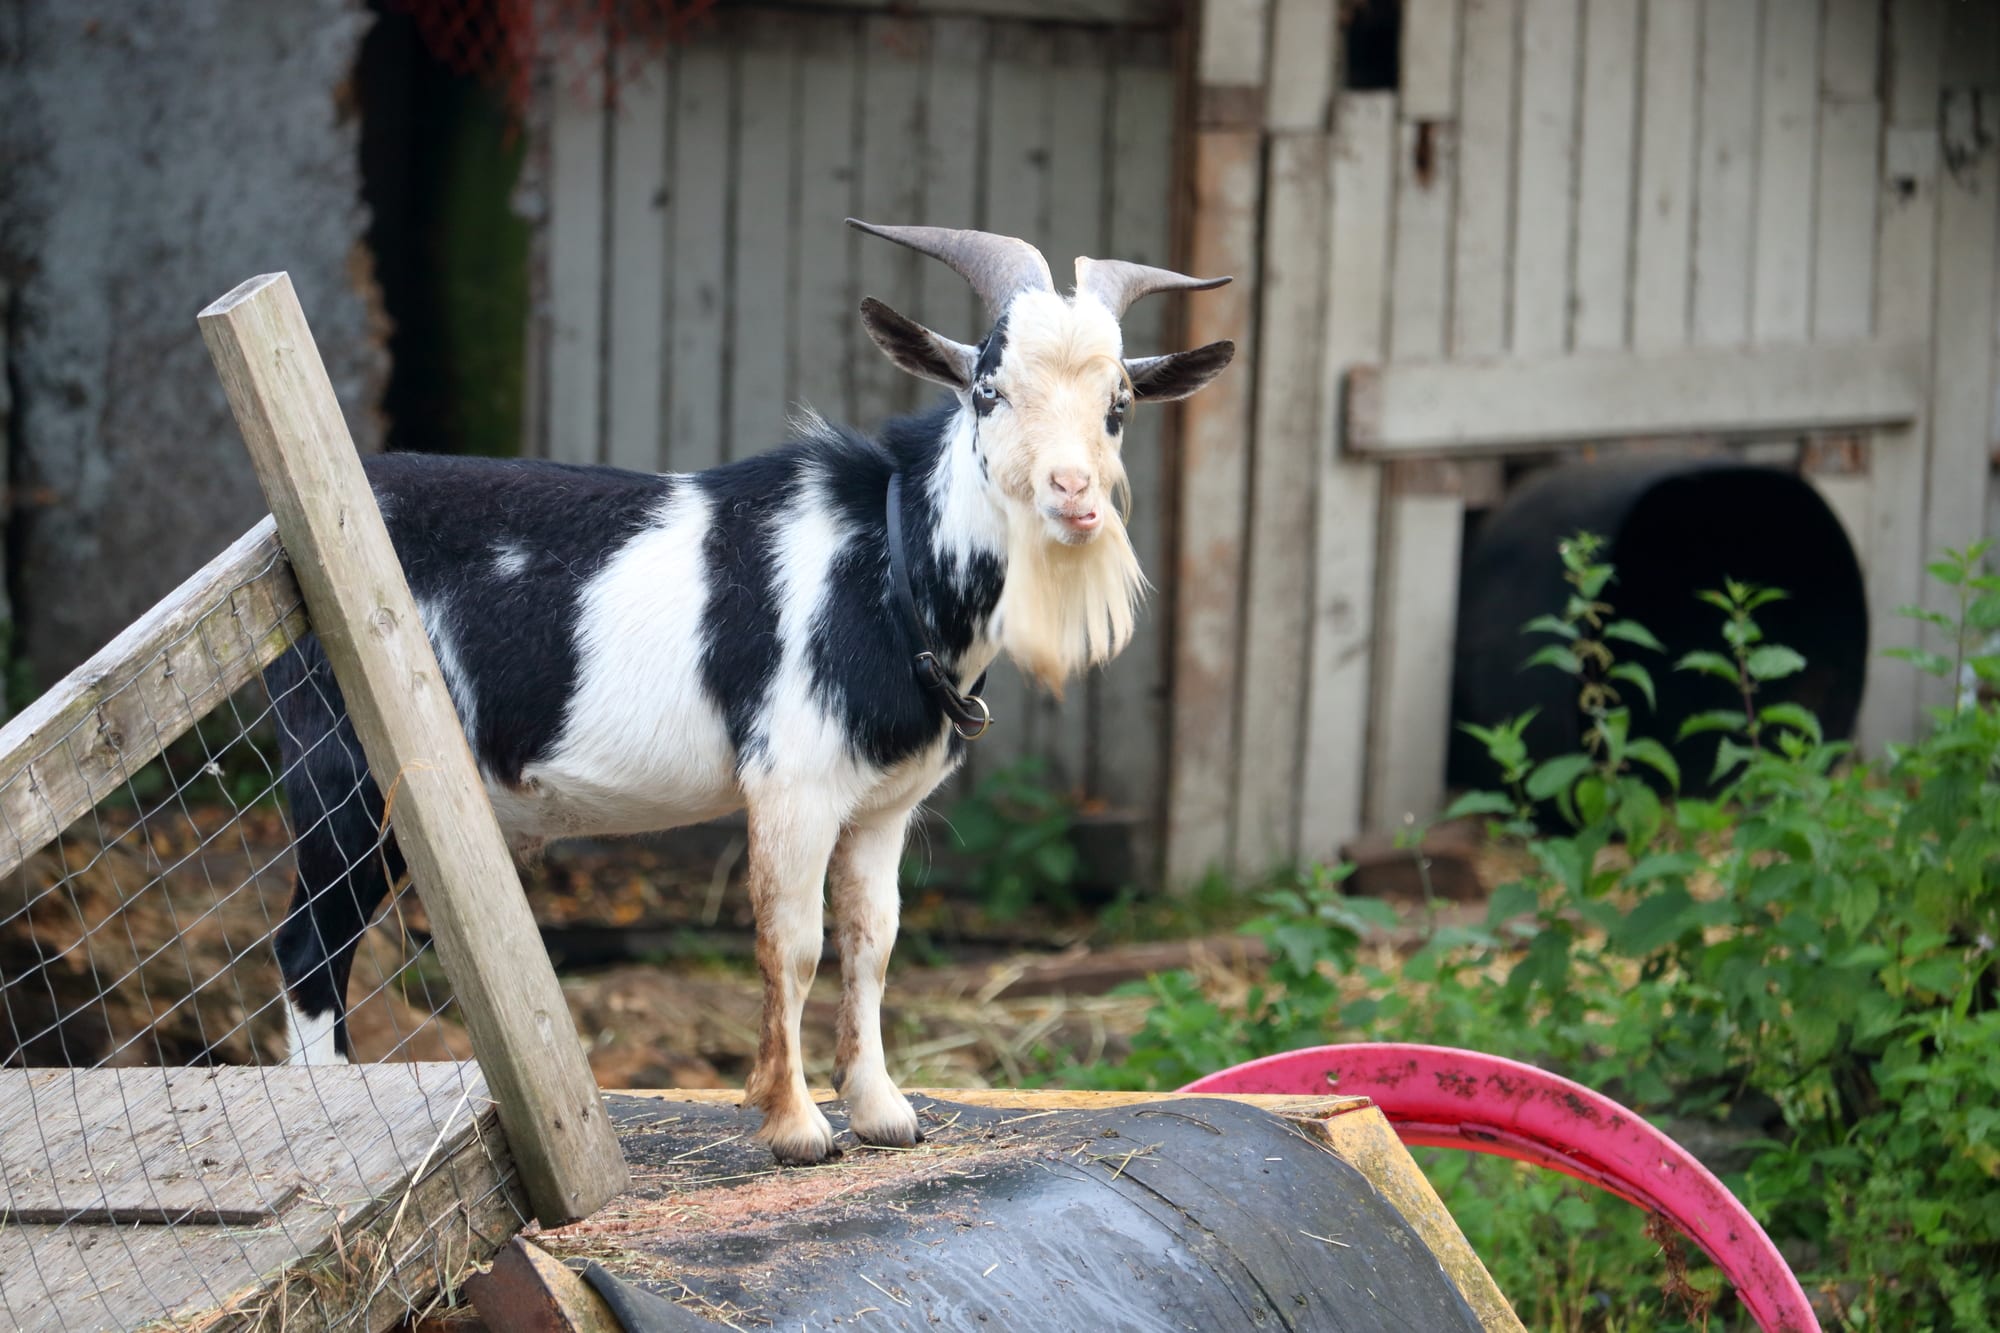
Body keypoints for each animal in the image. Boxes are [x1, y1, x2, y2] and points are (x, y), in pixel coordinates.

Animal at [266, 221, 1235, 1164]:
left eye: (1118, 406)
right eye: (986, 390)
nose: (1073, 495)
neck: (886, 565)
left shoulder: (884, 805)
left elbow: (872, 942)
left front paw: (883, 1113)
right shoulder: (793, 786)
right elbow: (793, 944)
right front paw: (796, 1125)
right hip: (344, 774)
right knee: (311, 943)